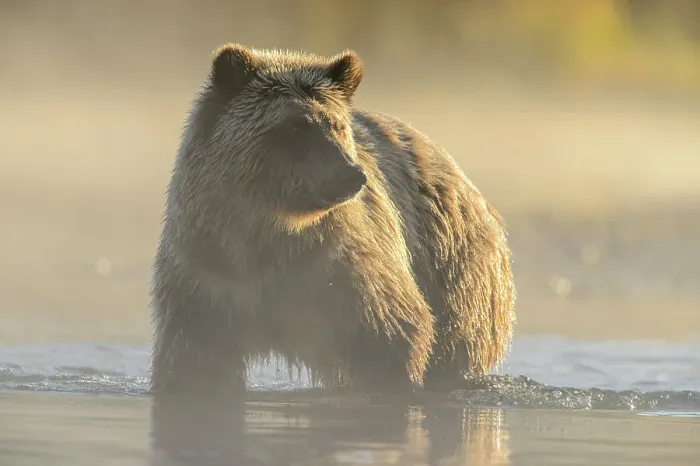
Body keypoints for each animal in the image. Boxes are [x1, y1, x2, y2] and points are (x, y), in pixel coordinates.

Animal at [148, 43, 515, 399]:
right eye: (296, 124)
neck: (269, 232)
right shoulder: (206, 276)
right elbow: (197, 360)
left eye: (337, 125)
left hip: (455, 269)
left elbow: (392, 330)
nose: (351, 175)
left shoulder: (340, 266)